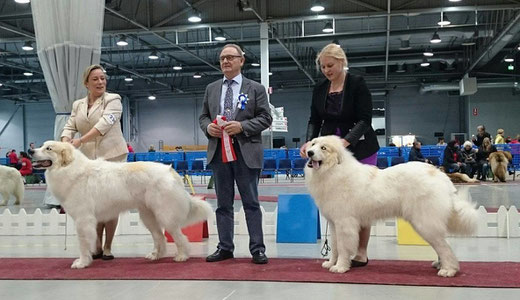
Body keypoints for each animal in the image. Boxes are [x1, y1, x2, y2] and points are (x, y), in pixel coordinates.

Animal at [31, 141, 211, 270]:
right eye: (42, 145)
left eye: (48, 148)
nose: (30, 151)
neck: (69, 168)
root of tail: (170, 170)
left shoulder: (83, 220)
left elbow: (83, 244)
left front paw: (82, 262)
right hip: (148, 216)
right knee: (160, 237)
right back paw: (155, 255)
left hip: (165, 215)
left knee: (179, 237)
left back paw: (182, 256)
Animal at [304, 135, 480, 276]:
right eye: (313, 144)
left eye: (324, 148)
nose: (309, 152)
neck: (333, 169)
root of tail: (440, 175)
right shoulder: (334, 223)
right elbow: (334, 246)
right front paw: (330, 263)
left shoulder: (344, 223)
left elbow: (343, 247)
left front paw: (340, 267)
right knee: (442, 244)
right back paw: (440, 264)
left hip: (425, 222)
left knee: (444, 246)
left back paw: (448, 270)